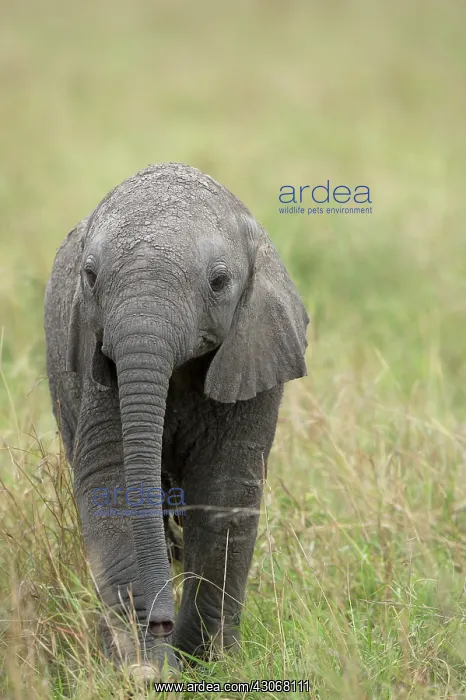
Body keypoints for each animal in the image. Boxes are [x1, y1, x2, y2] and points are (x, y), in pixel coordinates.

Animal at [43, 163, 309, 680]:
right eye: (89, 276)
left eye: (220, 282)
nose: (161, 622)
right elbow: (110, 480)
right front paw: (146, 668)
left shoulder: (256, 349)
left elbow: (226, 487)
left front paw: (205, 662)